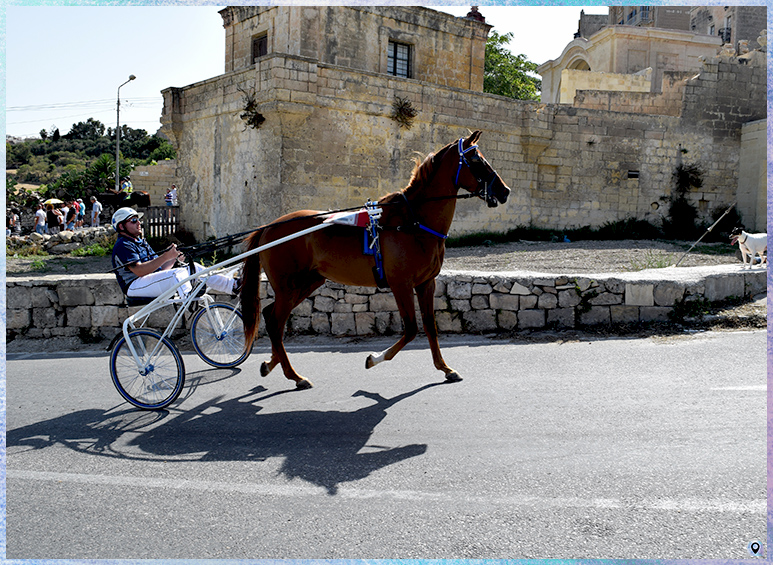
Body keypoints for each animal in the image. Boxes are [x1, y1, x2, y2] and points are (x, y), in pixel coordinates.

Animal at [238, 131, 510, 390]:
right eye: (476, 160)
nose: (504, 191)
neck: (412, 222)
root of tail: (268, 227)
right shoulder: (401, 283)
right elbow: (411, 329)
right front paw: (374, 358)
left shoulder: (426, 283)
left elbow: (430, 326)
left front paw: (445, 369)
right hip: (288, 286)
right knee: (275, 322)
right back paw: (294, 376)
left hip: (308, 282)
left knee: (272, 317)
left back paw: (272, 364)